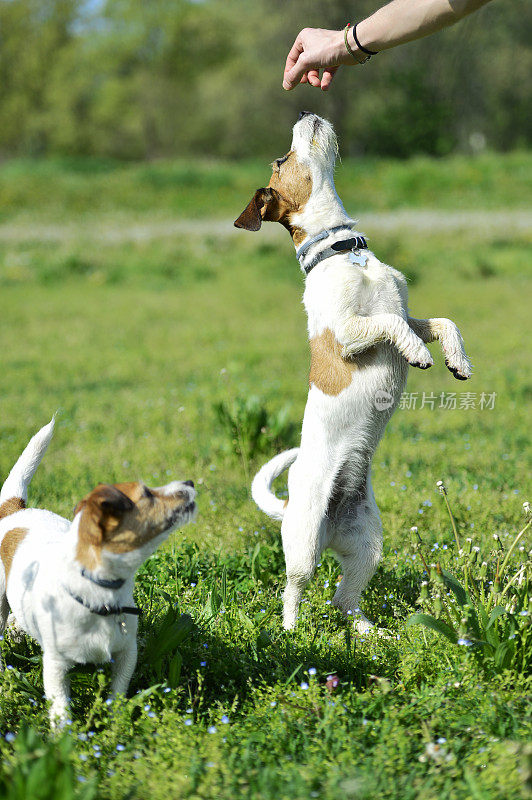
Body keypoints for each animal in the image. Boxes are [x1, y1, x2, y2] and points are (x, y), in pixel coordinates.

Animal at [0, 418, 195, 724]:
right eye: (147, 494)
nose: (189, 482)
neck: (101, 594)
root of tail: (14, 511)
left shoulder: (127, 654)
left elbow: (118, 694)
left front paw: (117, 724)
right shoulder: (55, 666)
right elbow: (61, 709)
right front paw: (66, 734)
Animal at [235, 112, 472, 636]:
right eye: (282, 159)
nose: (306, 112)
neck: (346, 251)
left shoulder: (407, 311)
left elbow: (442, 322)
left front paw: (457, 360)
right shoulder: (347, 335)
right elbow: (390, 327)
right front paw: (419, 355)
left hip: (368, 543)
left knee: (344, 598)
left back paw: (370, 633)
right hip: (304, 545)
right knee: (295, 589)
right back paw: (291, 634)